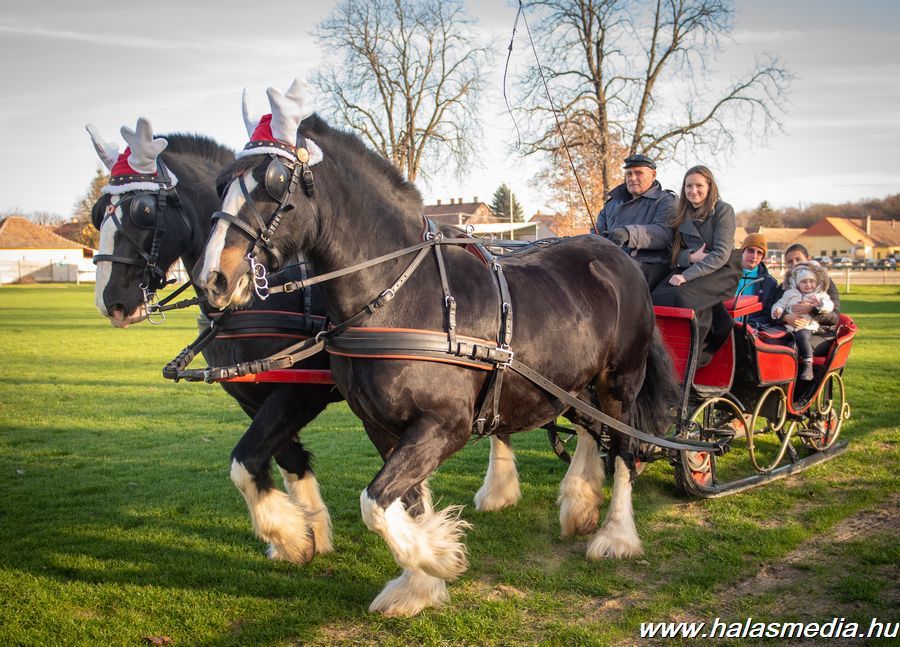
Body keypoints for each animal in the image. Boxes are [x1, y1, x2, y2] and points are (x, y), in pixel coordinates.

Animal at [90, 127, 342, 563]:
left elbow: (245, 461)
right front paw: (308, 534)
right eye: (97, 211)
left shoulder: (301, 391)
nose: (111, 301)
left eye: (143, 211)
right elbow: (286, 459)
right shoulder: (251, 395)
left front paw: (290, 535)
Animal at [197, 111, 677, 616]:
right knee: (590, 429)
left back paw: (616, 535)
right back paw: (580, 505)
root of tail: (614, 253)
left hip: (619, 382)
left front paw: (439, 557)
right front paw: (418, 582)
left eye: (273, 182)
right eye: (221, 182)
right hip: (568, 385)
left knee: (623, 449)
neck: (400, 296)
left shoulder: (446, 424)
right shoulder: (382, 425)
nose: (212, 278)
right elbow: (402, 502)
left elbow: (374, 503)